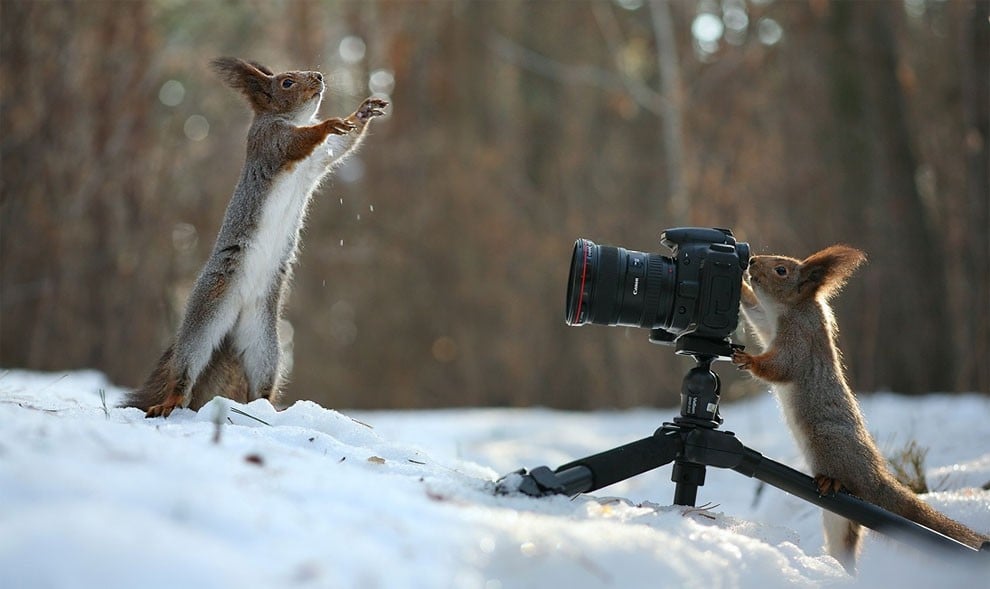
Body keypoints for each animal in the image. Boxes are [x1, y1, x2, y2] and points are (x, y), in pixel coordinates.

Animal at [121, 57, 388, 418]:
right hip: (207, 313)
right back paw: (172, 401)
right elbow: (296, 142)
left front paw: (362, 113)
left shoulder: (318, 160)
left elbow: (340, 147)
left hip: (264, 344)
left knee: (261, 382)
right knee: (187, 365)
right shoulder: (269, 142)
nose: (319, 76)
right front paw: (328, 124)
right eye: (287, 82)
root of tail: (235, 322)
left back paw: (268, 411)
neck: (290, 119)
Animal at [732, 242, 988, 568]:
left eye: (781, 270)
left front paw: (749, 360)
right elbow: (756, 313)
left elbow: (780, 367)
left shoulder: (799, 341)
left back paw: (831, 483)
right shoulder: (769, 324)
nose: (751, 261)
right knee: (845, 540)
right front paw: (741, 288)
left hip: (829, 444)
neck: (794, 308)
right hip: (838, 520)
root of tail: (874, 478)